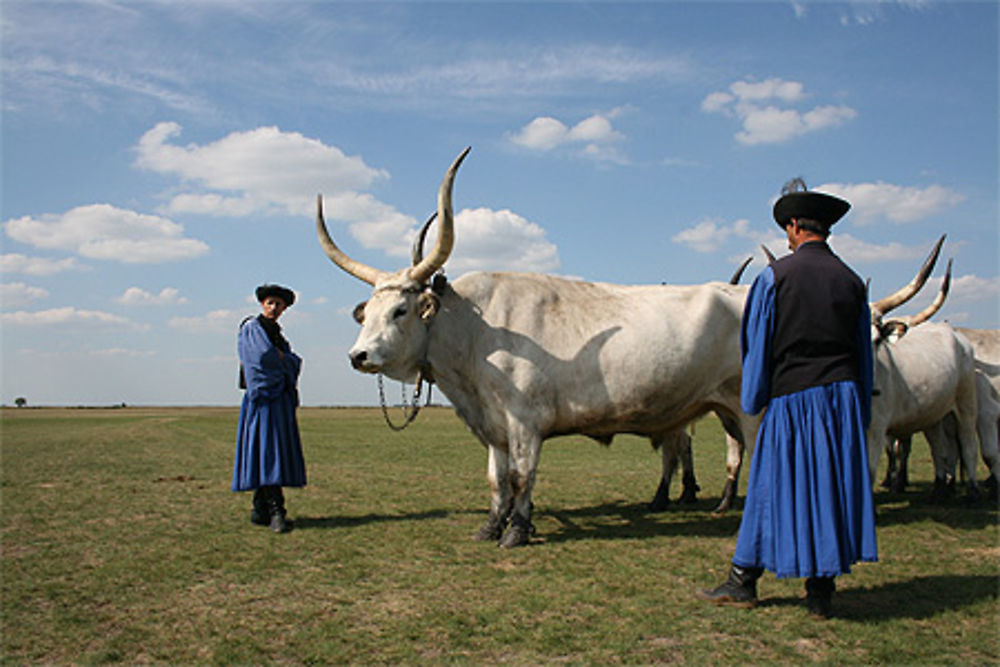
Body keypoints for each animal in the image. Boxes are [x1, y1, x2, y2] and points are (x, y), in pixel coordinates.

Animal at [318, 147, 756, 548]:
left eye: (400, 310)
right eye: (367, 313)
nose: (358, 356)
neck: (474, 333)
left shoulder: (526, 421)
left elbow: (521, 475)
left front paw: (516, 530)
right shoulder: (495, 425)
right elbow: (496, 478)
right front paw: (491, 527)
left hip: (750, 410)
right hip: (722, 410)